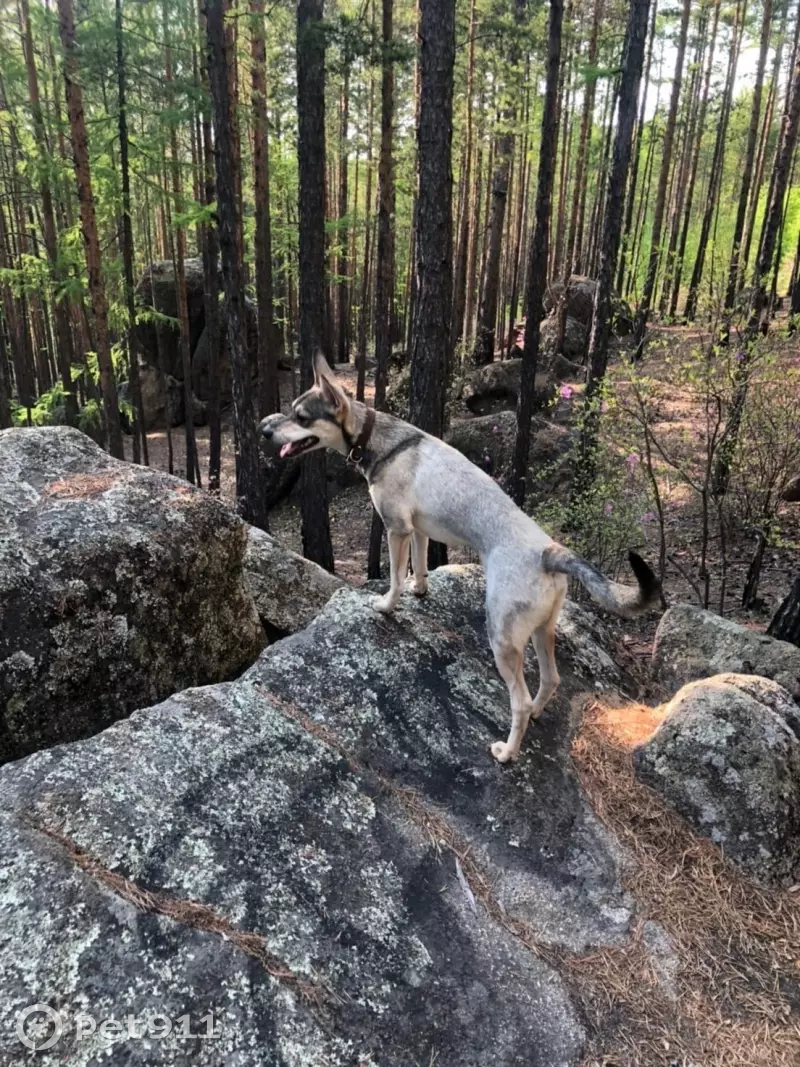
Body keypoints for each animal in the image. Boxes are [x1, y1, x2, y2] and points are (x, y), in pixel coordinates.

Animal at [260, 358, 661, 768]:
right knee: (551, 680)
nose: (263, 429)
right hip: (542, 630)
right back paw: (536, 711)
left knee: (518, 701)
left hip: (503, 639)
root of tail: (549, 553)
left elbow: (395, 578)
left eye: (301, 416)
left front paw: (387, 605)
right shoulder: (418, 531)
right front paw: (420, 590)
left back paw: (508, 751)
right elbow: (418, 566)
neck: (377, 438)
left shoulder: (396, 529)